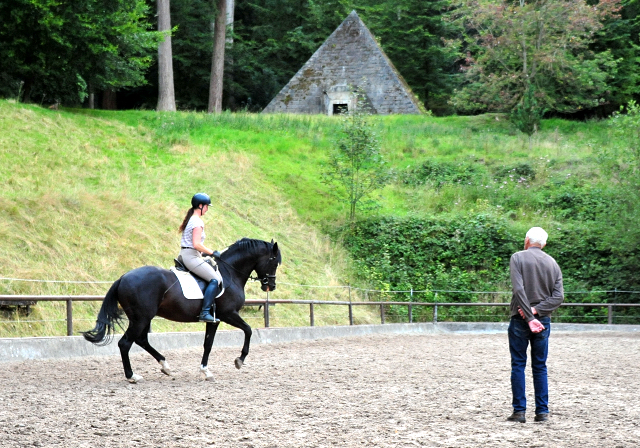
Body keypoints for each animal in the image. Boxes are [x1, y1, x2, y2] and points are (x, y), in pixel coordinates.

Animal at [82, 238, 280, 382]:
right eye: (273, 261)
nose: (271, 285)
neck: (229, 273)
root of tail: (123, 277)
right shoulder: (228, 314)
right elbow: (248, 330)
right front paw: (240, 360)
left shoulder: (213, 320)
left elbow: (208, 344)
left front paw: (205, 372)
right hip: (141, 318)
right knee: (125, 343)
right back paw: (132, 376)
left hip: (144, 318)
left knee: (141, 340)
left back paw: (166, 366)